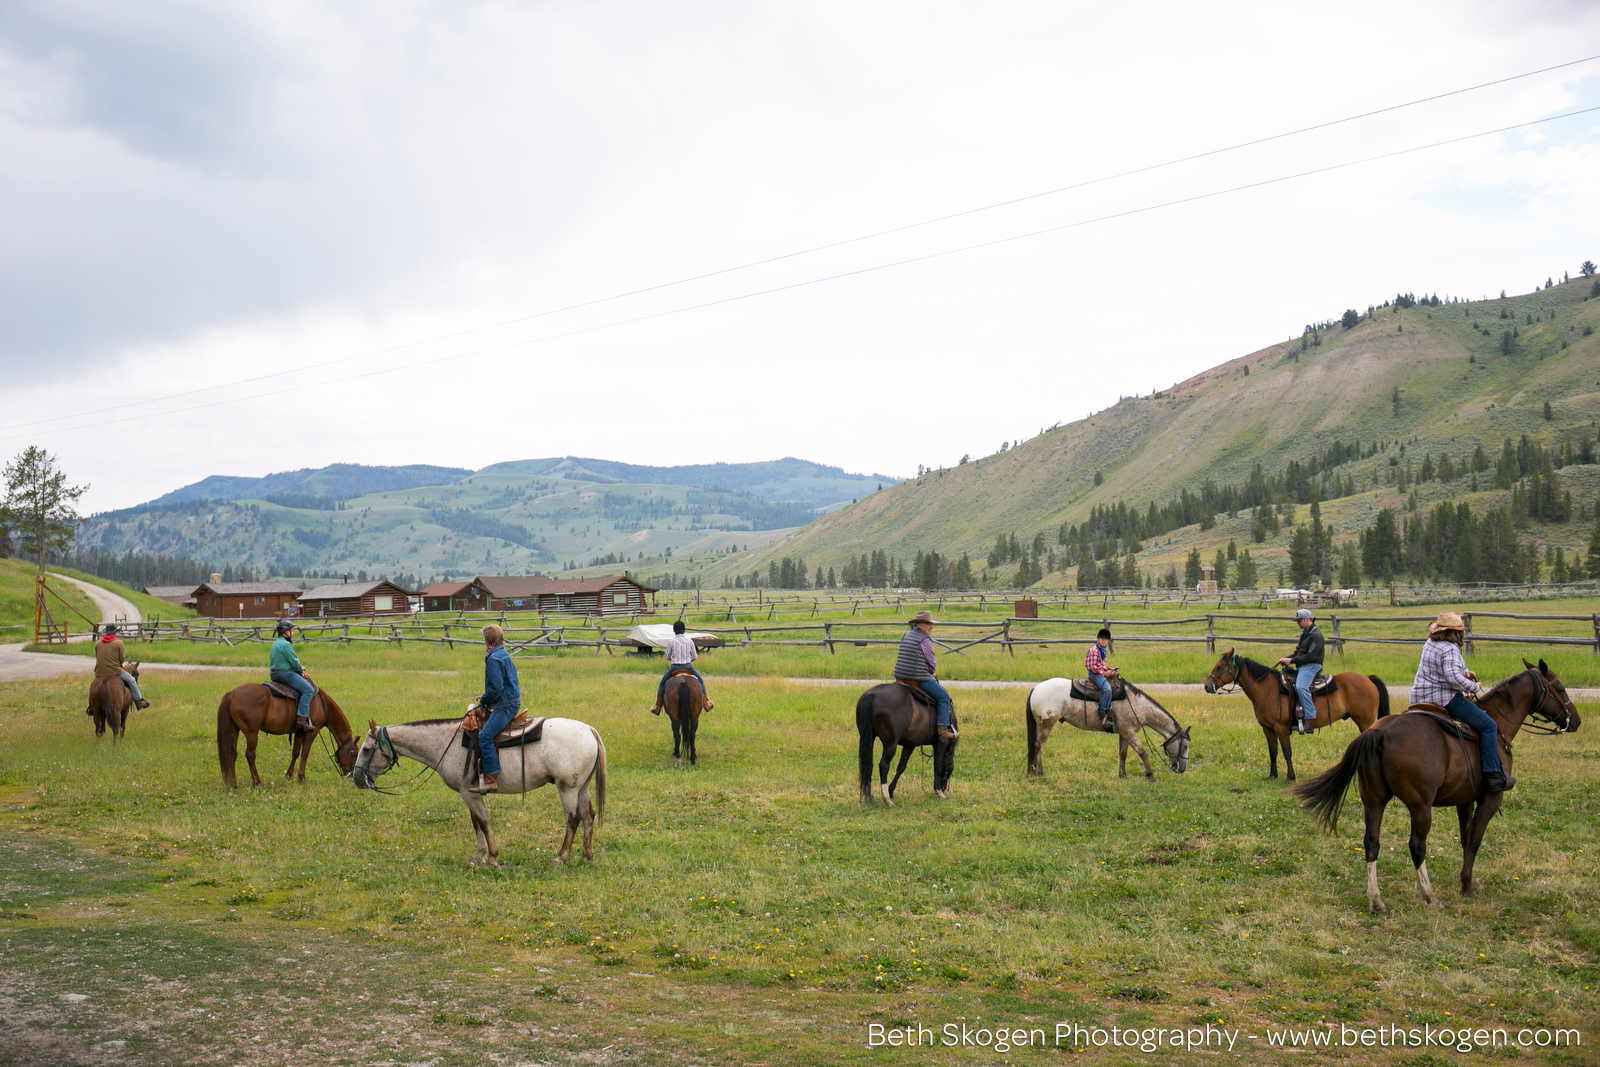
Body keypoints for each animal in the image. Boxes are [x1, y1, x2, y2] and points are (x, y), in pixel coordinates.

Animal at [216, 681, 356, 790]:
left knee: (231, 754)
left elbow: (296, 753)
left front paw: (289, 775)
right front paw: (302, 777)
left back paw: (233, 784)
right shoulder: (312, 731)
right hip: (251, 733)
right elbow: (305, 754)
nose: (351, 775)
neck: (323, 705)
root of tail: (232, 694)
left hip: (234, 730)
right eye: (354, 754)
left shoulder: (299, 732)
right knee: (250, 755)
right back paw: (258, 782)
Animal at [355, 716, 604, 870]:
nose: (356, 778)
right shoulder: (469, 794)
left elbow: (483, 822)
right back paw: (587, 856)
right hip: (581, 787)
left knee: (572, 819)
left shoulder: (469, 793)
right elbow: (476, 823)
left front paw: (492, 858)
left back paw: (561, 857)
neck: (446, 743)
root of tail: (589, 730)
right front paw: (480, 856)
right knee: (588, 816)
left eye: (366, 749)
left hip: (567, 788)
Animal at [1024, 681, 1190, 780]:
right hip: (1046, 724)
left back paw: (1033, 771)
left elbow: (1123, 754)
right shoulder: (1129, 732)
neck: (1137, 705)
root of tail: (1036, 688)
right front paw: (1150, 776)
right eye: (1185, 745)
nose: (1182, 769)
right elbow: (1142, 752)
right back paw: (1039, 772)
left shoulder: (1124, 732)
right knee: (1039, 745)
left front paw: (1123, 775)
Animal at [1203, 646, 1388, 780]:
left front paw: (1290, 777)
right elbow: (1273, 751)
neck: (1268, 690)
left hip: (1365, 722)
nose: (1206, 686)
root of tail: (1368, 679)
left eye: (1219, 666)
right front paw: (1272, 776)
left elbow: (1287, 752)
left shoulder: (1281, 728)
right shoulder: (1268, 729)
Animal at [1292, 655, 1580, 915]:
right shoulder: (1491, 797)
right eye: (1560, 687)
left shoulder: (1464, 799)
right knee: (1417, 846)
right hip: (1420, 807)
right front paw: (1467, 886)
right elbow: (1475, 839)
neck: (1497, 725)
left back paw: (1376, 901)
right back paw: (1430, 897)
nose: (1575, 721)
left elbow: (1465, 838)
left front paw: (1469, 881)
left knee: (1371, 843)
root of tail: (1380, 732)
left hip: (1373, 801)